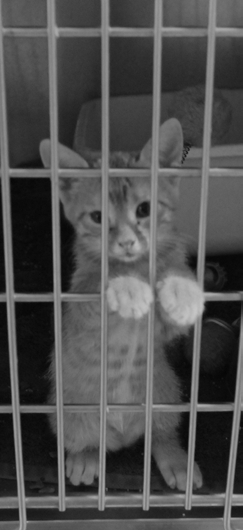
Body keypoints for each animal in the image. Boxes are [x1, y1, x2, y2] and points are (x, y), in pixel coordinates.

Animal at [40, 117, 204, 488]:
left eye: (144, 209)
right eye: (97, 217)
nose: (127, 242)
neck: (137, 264)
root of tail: (123, 434)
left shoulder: (163, 330)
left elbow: (176, 280)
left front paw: (183, 292)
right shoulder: (80, 313)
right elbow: (100, 288)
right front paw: (127, 287)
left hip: (166, 395)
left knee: (160, 435)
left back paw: (175, 459)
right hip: (69, 415)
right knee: (84, 440)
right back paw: (85, 458)